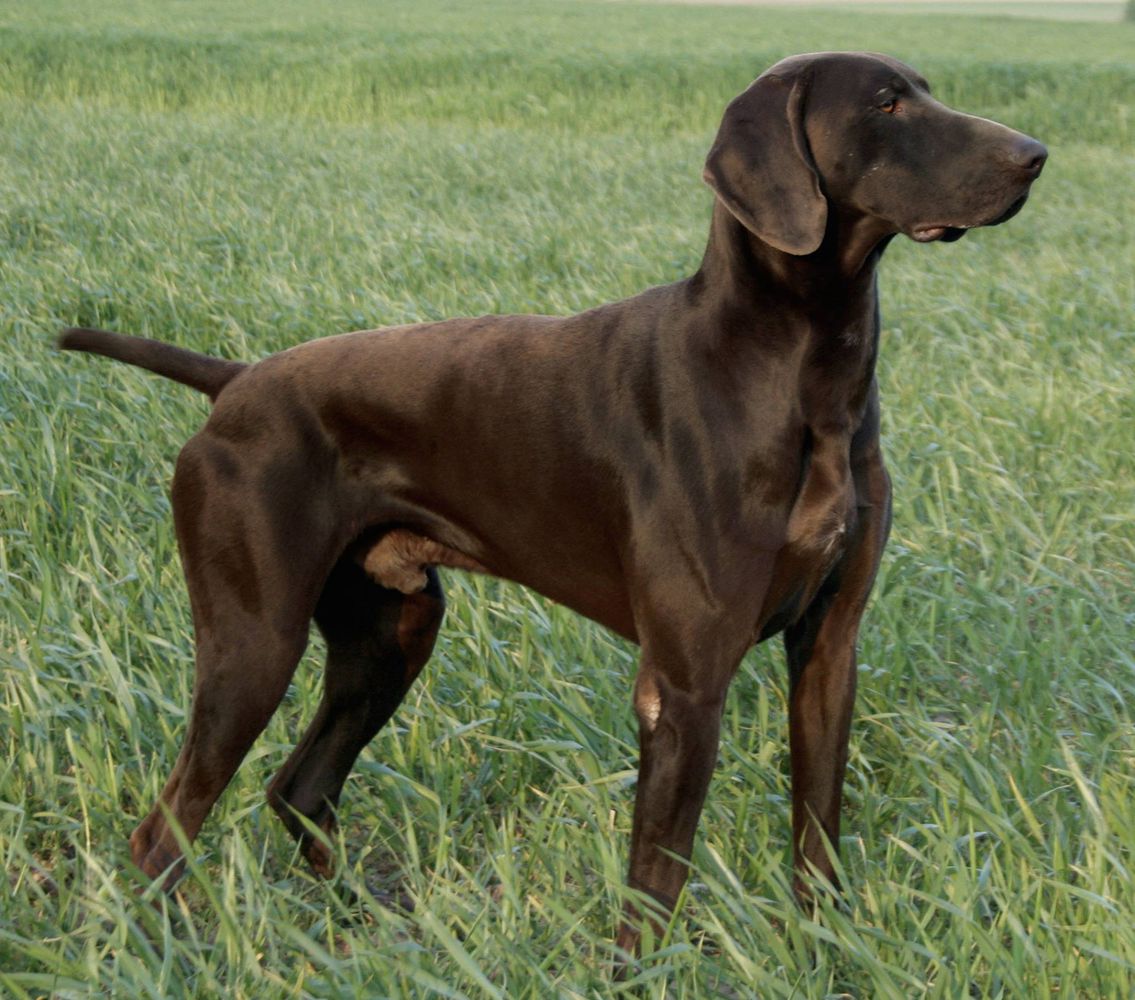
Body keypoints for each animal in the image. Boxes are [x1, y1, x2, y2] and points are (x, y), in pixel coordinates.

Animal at [57, 48, 1039, 953]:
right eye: (885, 103)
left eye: (925, 90)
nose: (1033, 155)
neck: (800, 372)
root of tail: (237, 382)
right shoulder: (684, 683)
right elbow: (655, 883)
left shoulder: (829, 649)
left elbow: (817, 838)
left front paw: (824, 949)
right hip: (255, 643)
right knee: (164, 830)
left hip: (390, 636)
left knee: (299, 789)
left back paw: (365, 929)